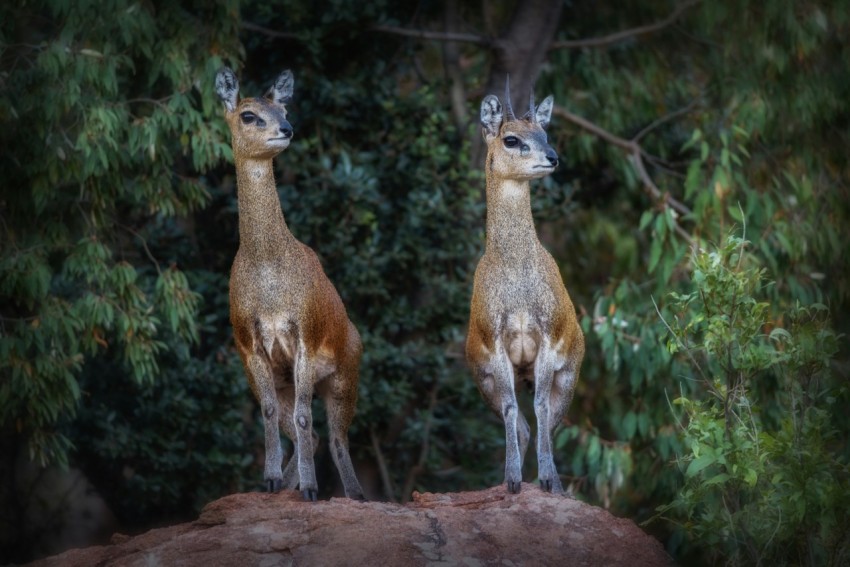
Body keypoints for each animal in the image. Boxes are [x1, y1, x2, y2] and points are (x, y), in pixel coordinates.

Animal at [215, 67, 364, 501]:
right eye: (248, 114)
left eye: (282, 108)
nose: (287, 128)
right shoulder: (249, 344)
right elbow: (268, 414)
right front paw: (270, 480)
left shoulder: (306, 336)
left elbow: (303, 418)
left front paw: (311, 488)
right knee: (310, 436)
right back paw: (288, 485)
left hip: (344, 376)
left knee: (335, 438)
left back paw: (353, 494)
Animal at [465, 79, 585, 495]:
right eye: (512, 138)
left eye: (545, 133)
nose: (553, 157)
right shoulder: (496, 344)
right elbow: (512, 409)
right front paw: (512, 479)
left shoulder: (548, 337)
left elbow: (541, 409)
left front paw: (547, 479)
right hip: (487, 378)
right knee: (520, 424)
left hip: (568, 375)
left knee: (548, 422)